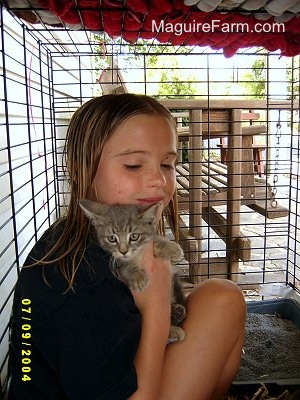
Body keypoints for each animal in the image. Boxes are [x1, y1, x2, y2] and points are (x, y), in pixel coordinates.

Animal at [81, 198, 186, 342]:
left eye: (134, 236)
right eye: (112, 238)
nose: (123, 251)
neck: (137, 255)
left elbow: (154, 239)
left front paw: (171, 248)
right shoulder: (117, 263)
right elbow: (127, 265)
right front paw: (138, 278)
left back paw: (178, 312)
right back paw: (174, 329)